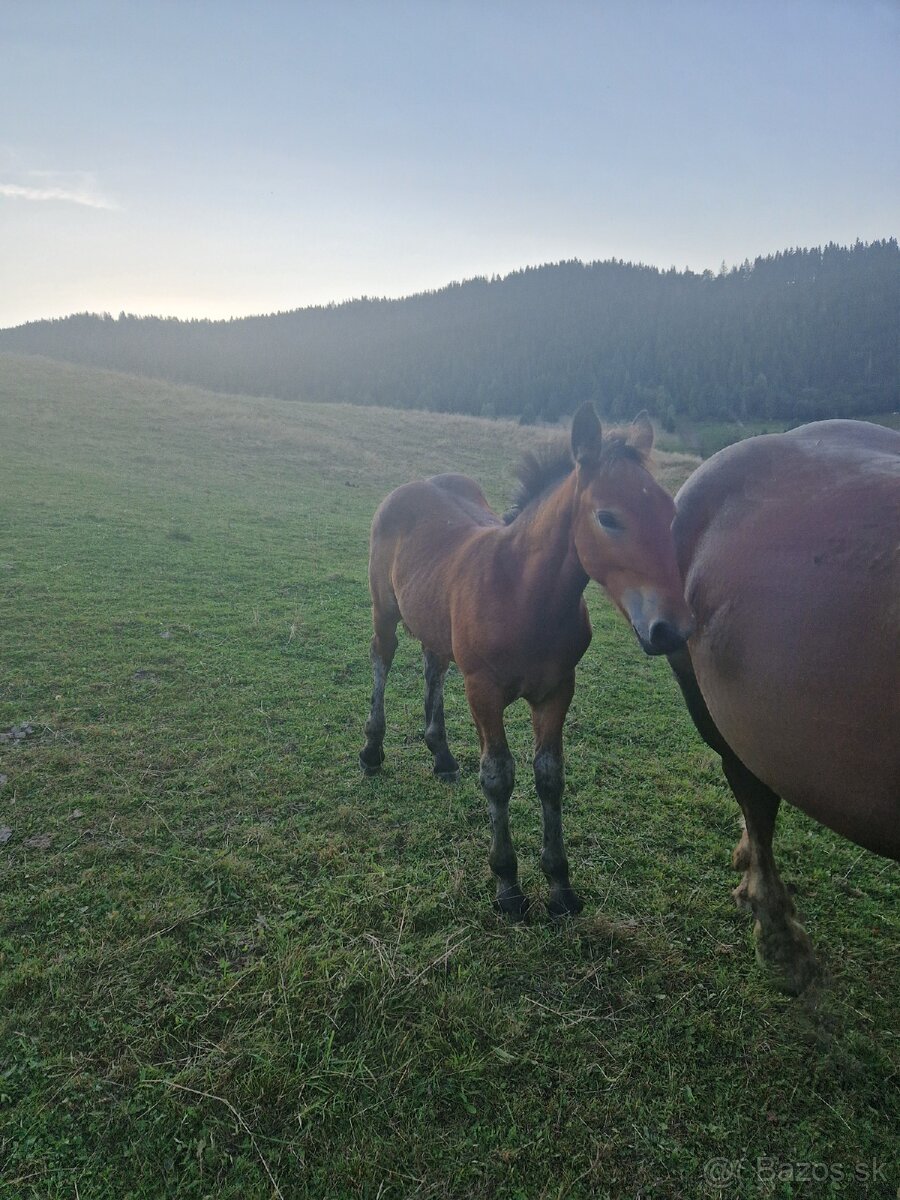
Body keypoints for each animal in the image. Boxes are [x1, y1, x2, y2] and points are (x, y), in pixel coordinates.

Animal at [357, 398, 691, 912]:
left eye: (670, 512)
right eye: (608, 518)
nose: (671, 628)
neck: (521, 594)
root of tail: (416, 482)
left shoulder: (557, 689)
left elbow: (549, 775)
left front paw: (559, 885)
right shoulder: (483, 690)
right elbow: (498, 775)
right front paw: (508, 885)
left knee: (433, 665)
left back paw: (442, 756)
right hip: (384, 610)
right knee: (382, 659)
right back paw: (373, 750)